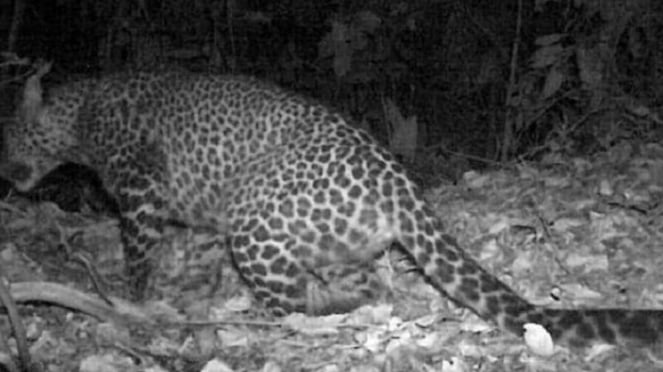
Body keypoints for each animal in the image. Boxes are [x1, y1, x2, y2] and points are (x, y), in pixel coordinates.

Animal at [1, 62, 663, 350]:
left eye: (6, 135)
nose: (6, 175)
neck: (77, 120)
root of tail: (398, 179)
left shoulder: (141, 196)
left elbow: (138, 256)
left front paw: (135, 299)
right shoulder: (202, 214)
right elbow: (198, 259)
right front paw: (190, 292)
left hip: (256, 219)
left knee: (297, 303)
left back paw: (288, 316)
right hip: (332, 239)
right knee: (373, 288)